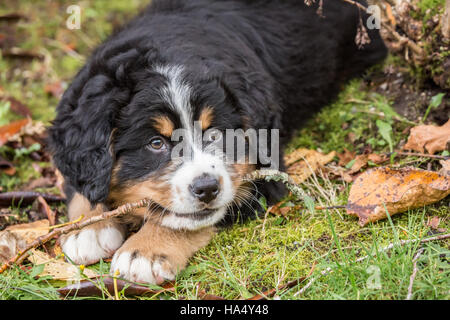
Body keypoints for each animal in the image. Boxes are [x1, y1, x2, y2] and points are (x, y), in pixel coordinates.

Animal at [48, 0, 386, 284]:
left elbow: (181, 220)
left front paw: (145, 252)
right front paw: (88, 228)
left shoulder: (263, 176)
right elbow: (82, 186)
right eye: (156, 143)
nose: (207, 188)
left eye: (215, 135)